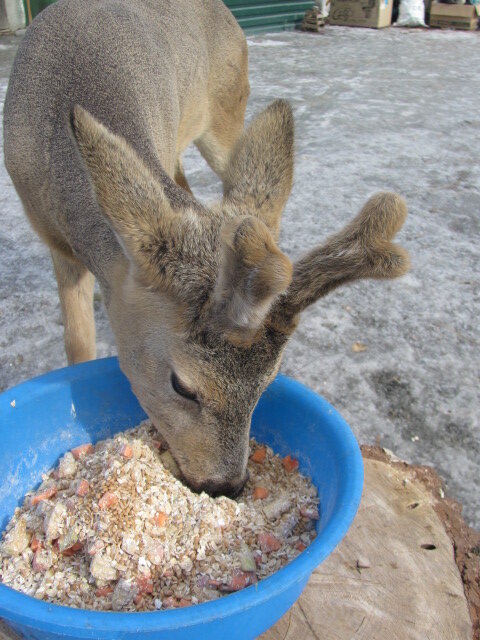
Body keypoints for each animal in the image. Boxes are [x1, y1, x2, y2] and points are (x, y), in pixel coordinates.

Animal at [3, 0, 408, 496]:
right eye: (182, 386)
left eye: (268, 384)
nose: (227, 485)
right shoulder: (54, 240)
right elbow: (77, 342)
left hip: (226, 110)